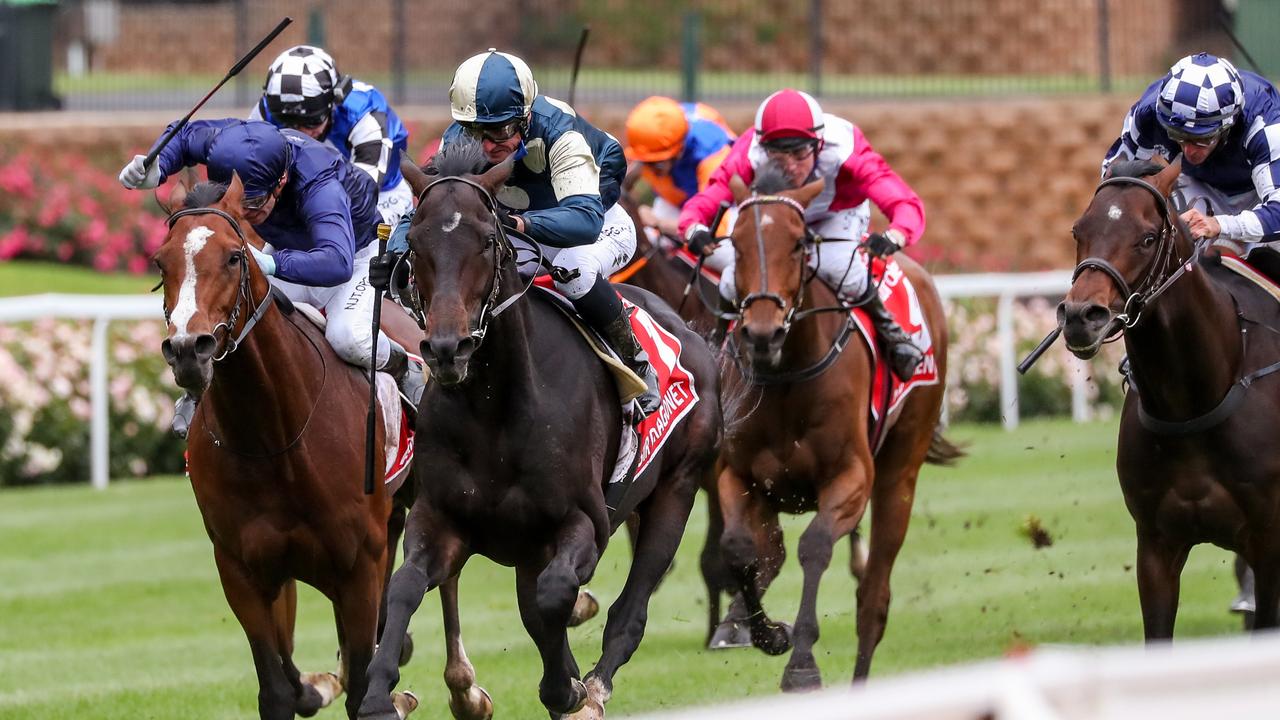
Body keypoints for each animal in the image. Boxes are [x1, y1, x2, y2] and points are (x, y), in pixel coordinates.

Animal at [152, 175, 417, 717]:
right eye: (160, 262)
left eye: (235, 257)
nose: (189, 349)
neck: (274, 438)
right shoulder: (241, 569)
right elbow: (277, 688)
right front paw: (311, 687)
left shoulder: (358, 566)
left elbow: (362, 688)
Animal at [355, 141, 727, 717]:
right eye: (413, 242)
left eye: (488, 240)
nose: (447, 349)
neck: (496, 411)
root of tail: (687, 329)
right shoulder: (441, 518)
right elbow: (404, 586)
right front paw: (379, 694)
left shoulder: (585, 523)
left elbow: (555, 596)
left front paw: (567, 686)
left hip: (676, 489)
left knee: (628, 612)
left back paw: (592, 688)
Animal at [716, 165, 957, 686]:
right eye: (736, 243)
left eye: (797, 245)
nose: (762, 333)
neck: (786, 378)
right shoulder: (737, 475)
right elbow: (741, 549)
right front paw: (770, 634)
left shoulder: (852, 476)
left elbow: (815, 546)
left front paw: (802, 662)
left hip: (900, 470)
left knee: (874, 596)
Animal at [1059, 158, 1280, 632]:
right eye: (1077, 230)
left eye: (1146, 238)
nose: (1081, 316)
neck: (1192, 403)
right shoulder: (1156, 545)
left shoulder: (1270, 541)